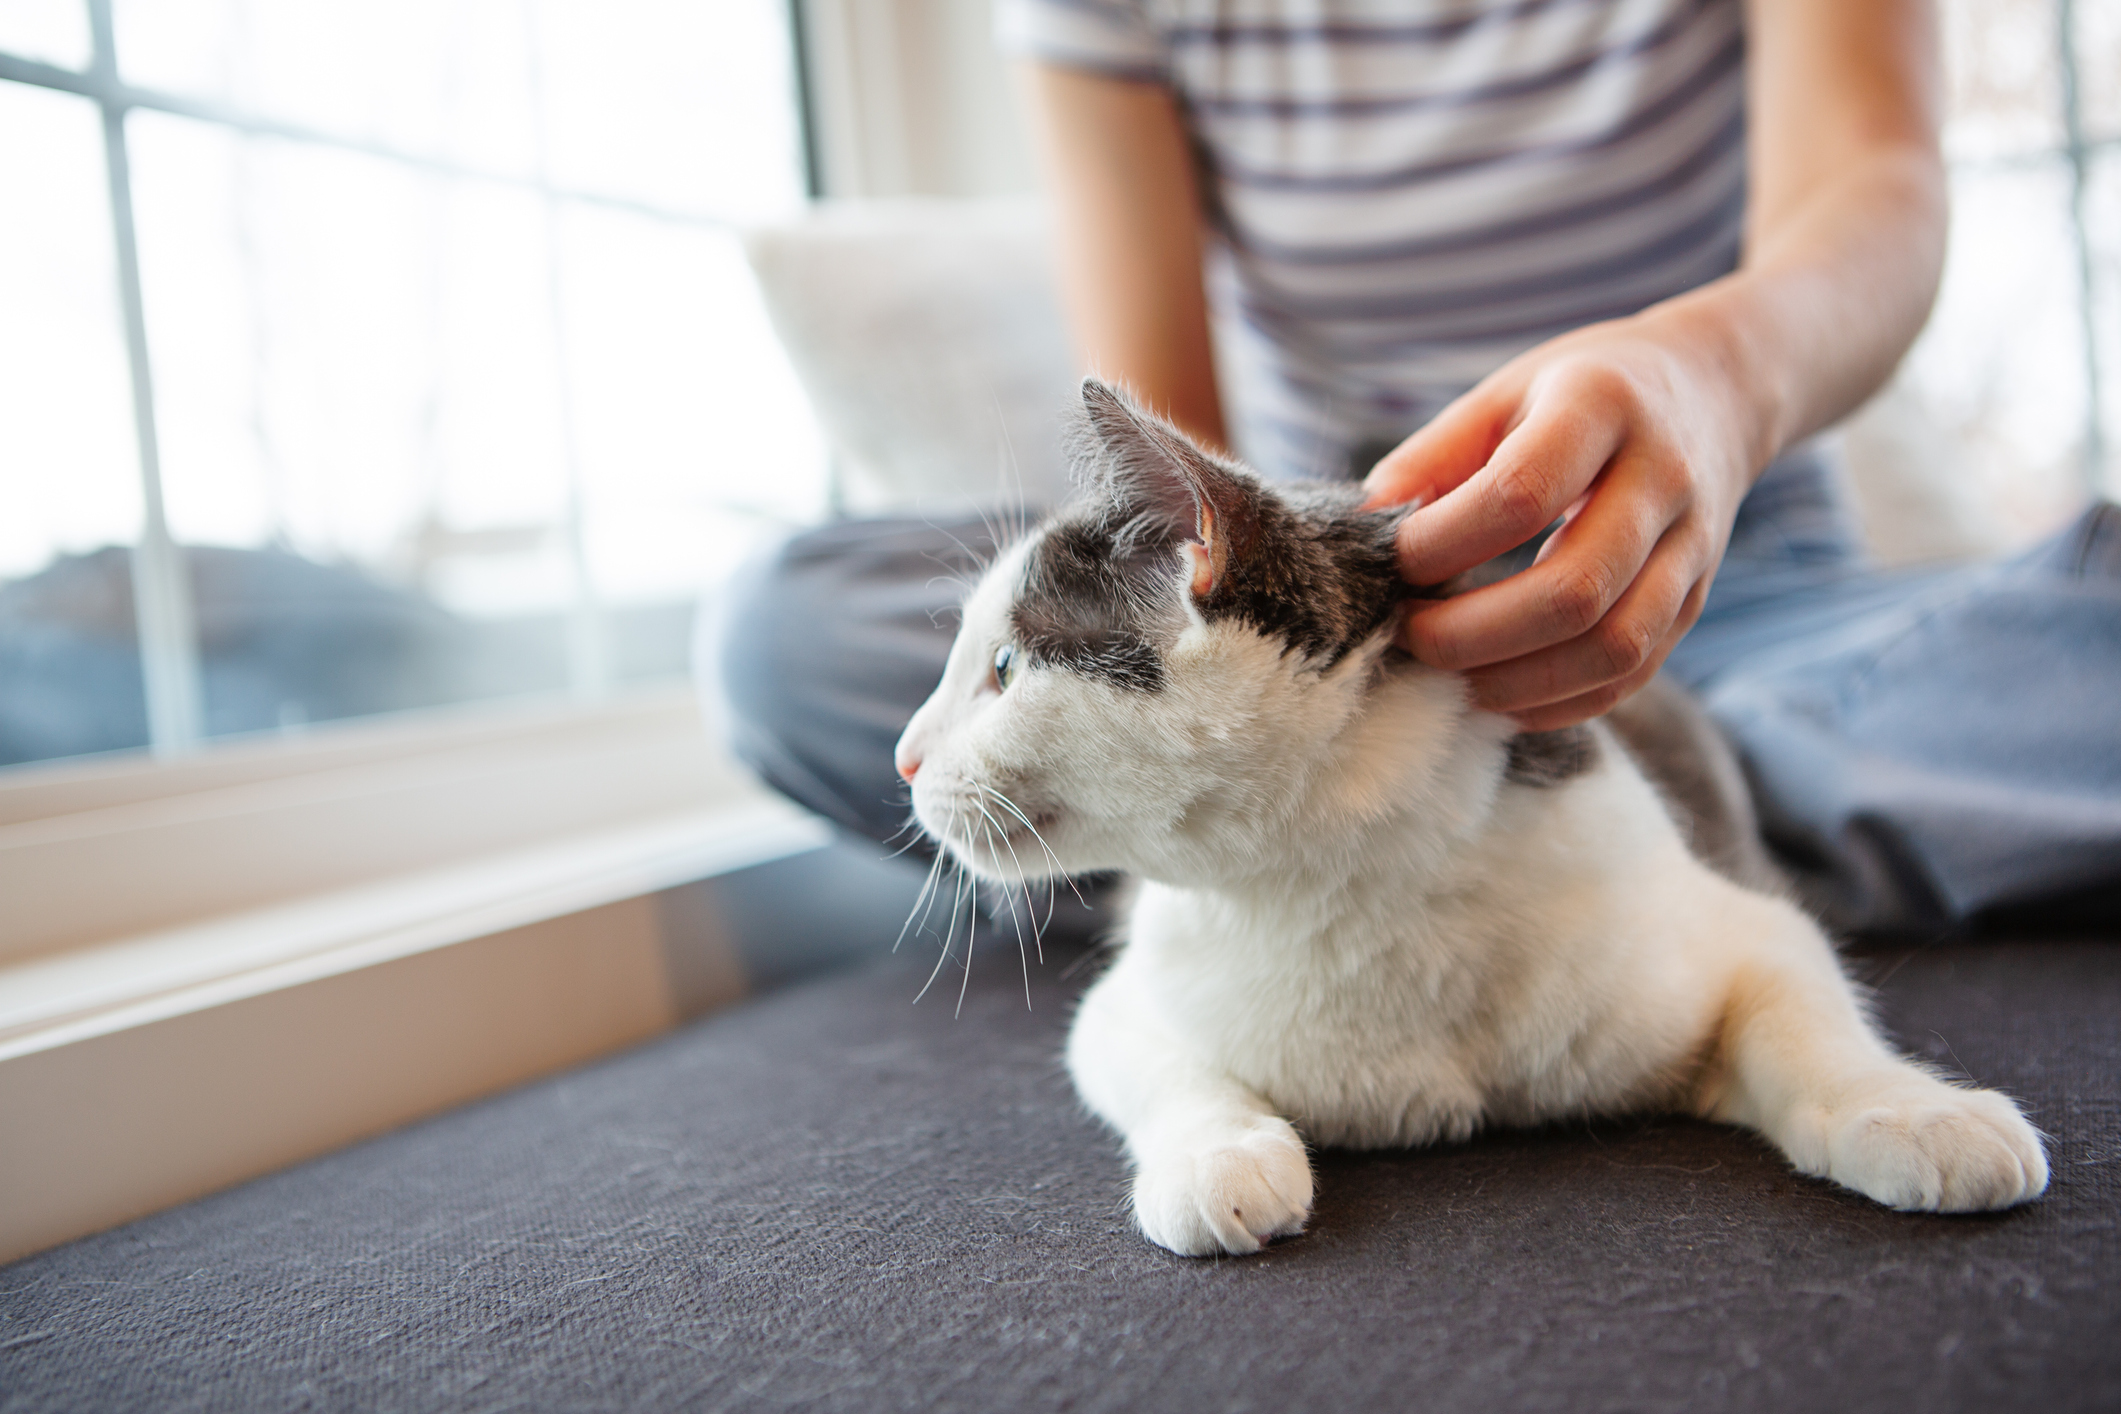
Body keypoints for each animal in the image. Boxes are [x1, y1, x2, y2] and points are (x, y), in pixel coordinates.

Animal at [890, 379, 2036, 1263]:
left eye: (1003, 669)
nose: (904, 755)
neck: (1341, 882)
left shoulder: (1744, 929)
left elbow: (1813, 1023)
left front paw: (1917, 1112)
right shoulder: (1126, 1002)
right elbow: (1165, 1071)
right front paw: (1220, 1156)